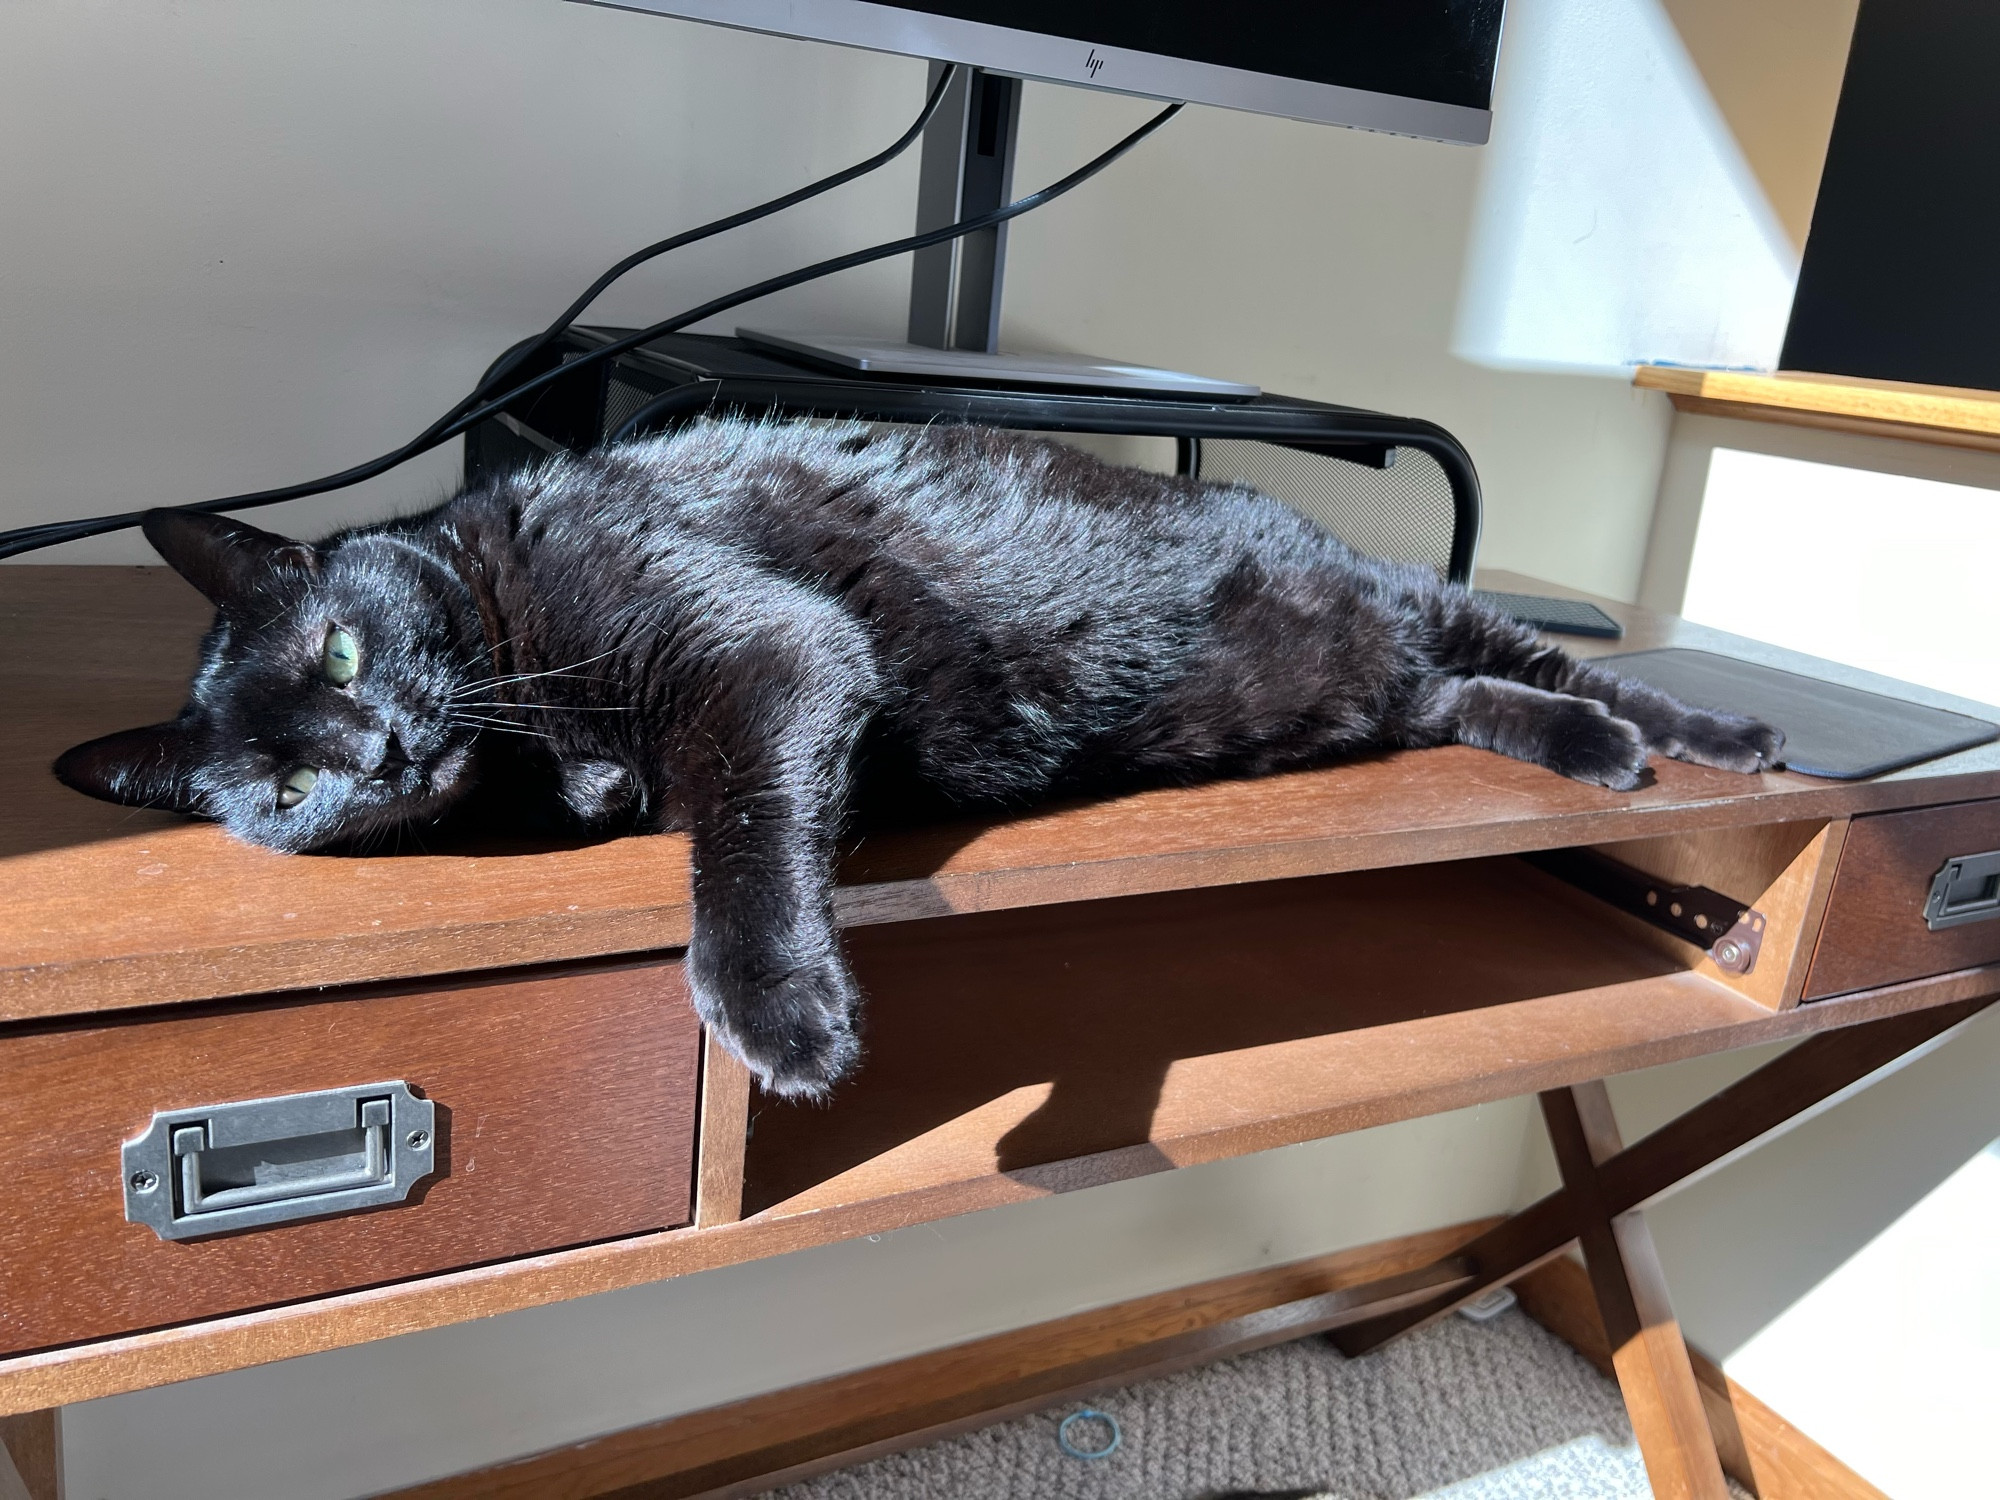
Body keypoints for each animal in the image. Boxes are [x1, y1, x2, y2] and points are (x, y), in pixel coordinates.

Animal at [54, 418, 1792, 1096]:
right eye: (287, 793)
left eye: (341, 654)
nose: (384, 752)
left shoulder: (771, 651)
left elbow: (741, 830)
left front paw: (778, 1006)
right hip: (1368, 689)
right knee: (1474, 700)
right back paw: (1589, 744)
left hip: (1399, 599)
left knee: (1535, 654)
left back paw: (1707, 737)